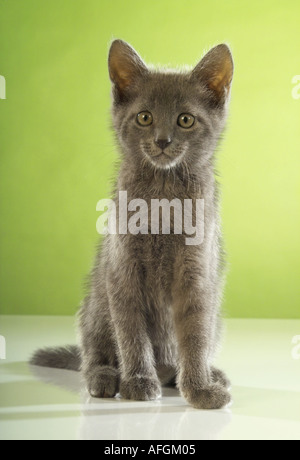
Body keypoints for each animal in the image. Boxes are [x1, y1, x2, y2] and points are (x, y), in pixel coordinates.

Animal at [32, 39, 234, 410]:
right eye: (144, 117)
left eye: (185, 120)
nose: (163, 140)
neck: (163, 196)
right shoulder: (121, 270)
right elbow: (131, 333)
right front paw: (139, 381)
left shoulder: (198, 274)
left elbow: (195, 335)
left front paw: (199, 389)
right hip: (96, 303)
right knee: (92, 354)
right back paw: (105, 378)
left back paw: (201, 374)